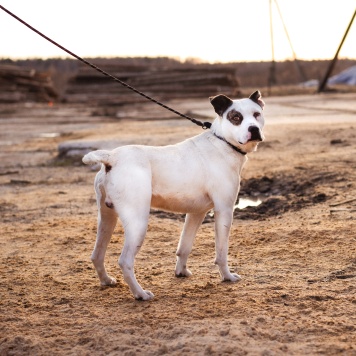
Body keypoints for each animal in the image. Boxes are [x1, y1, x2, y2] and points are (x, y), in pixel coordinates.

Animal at [82, 90, 264, 298]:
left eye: (257, 114)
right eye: (236, 118)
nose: (254, 129)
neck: (222, 143)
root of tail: (112, 158)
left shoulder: (196, 213)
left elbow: (184, 247)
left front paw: (181, 272)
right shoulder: (224, 210)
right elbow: (221, 252)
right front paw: (227, 276)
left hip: (106, 218)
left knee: (97, 254)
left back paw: (106, 280)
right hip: (138, 223)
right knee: (125, 261)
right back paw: (140, 294)